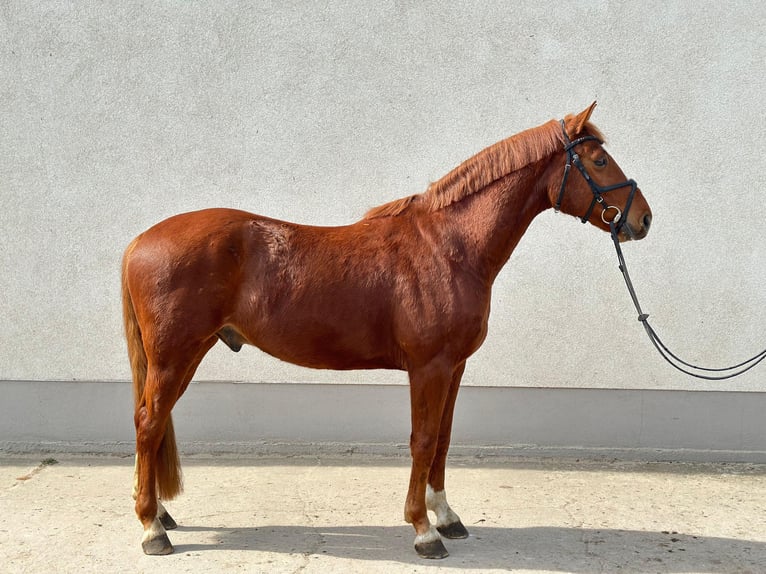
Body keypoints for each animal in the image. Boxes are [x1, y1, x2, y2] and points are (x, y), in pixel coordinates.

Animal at [122, 102, 652, 559]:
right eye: (600, 160)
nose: (643, 219)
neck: (449, 248)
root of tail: (139, 241)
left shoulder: (454, 367)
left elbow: (443, 438)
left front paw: (447, 517)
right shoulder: (428, 367)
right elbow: (423, 439)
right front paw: (423, 530)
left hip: (185, 354)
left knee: (153, 423)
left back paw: (162, 515)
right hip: (175, 356)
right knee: (148, 422)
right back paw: (151, 529)